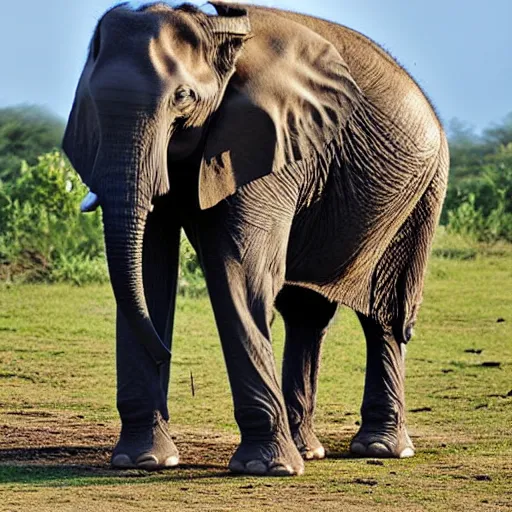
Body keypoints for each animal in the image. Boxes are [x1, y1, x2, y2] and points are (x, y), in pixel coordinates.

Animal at [63, 2, 448, 478]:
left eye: (182, 98)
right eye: (93, 106)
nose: (166, 353)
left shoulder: (269, 140)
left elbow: (238, 271)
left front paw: (266, 469)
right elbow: (150, 271)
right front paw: (144, 460)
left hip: (423, 192)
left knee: (385, 314)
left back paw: (378, 449)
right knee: (306, 312)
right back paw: (307, 450)